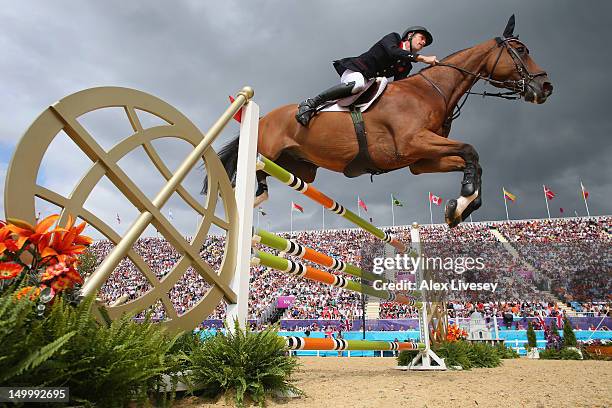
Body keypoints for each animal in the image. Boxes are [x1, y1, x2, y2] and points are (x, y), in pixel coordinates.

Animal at [208, 16, 552, 226]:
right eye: (521, 50)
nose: (546, 87)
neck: (432, 91)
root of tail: (265, 115)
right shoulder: (413, 142)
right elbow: (471, 150)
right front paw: (465, 197)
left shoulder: (421, 160)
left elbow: (472, 160)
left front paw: (460, 207)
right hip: (267, 149)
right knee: (245, 172)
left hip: (299, 167)